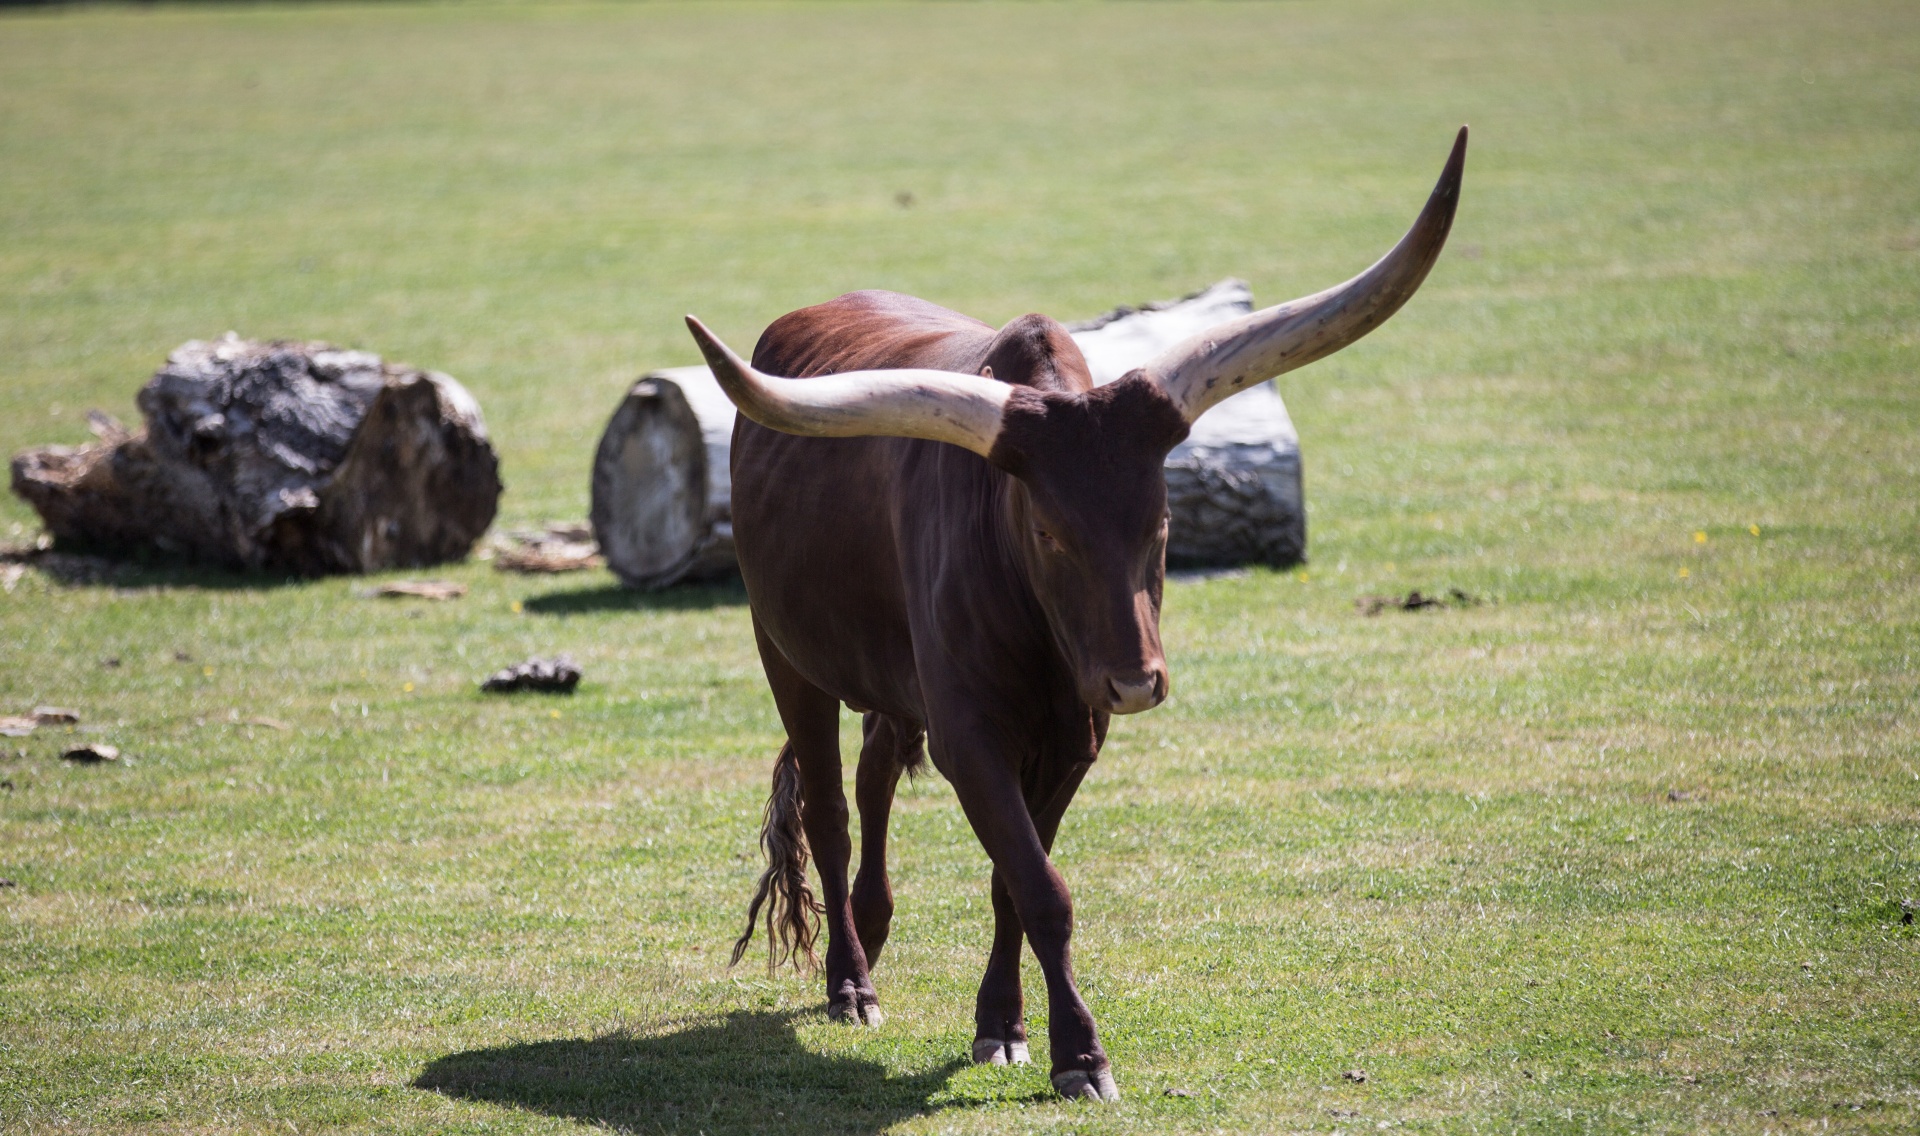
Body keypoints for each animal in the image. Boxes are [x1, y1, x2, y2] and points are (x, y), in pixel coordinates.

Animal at [683, 130, 1459, 1097]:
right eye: (1048, 530)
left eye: (1162, 521)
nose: (1135, 682)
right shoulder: (972, 735)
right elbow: (1040, 887)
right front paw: (1080, 1053)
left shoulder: (1073, 739)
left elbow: (1015, 882)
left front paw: (1003, 1025)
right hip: (785, 652)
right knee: (827, 806)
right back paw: (851, 982)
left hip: (893, 679)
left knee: (871, 777)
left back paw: (876, 921)